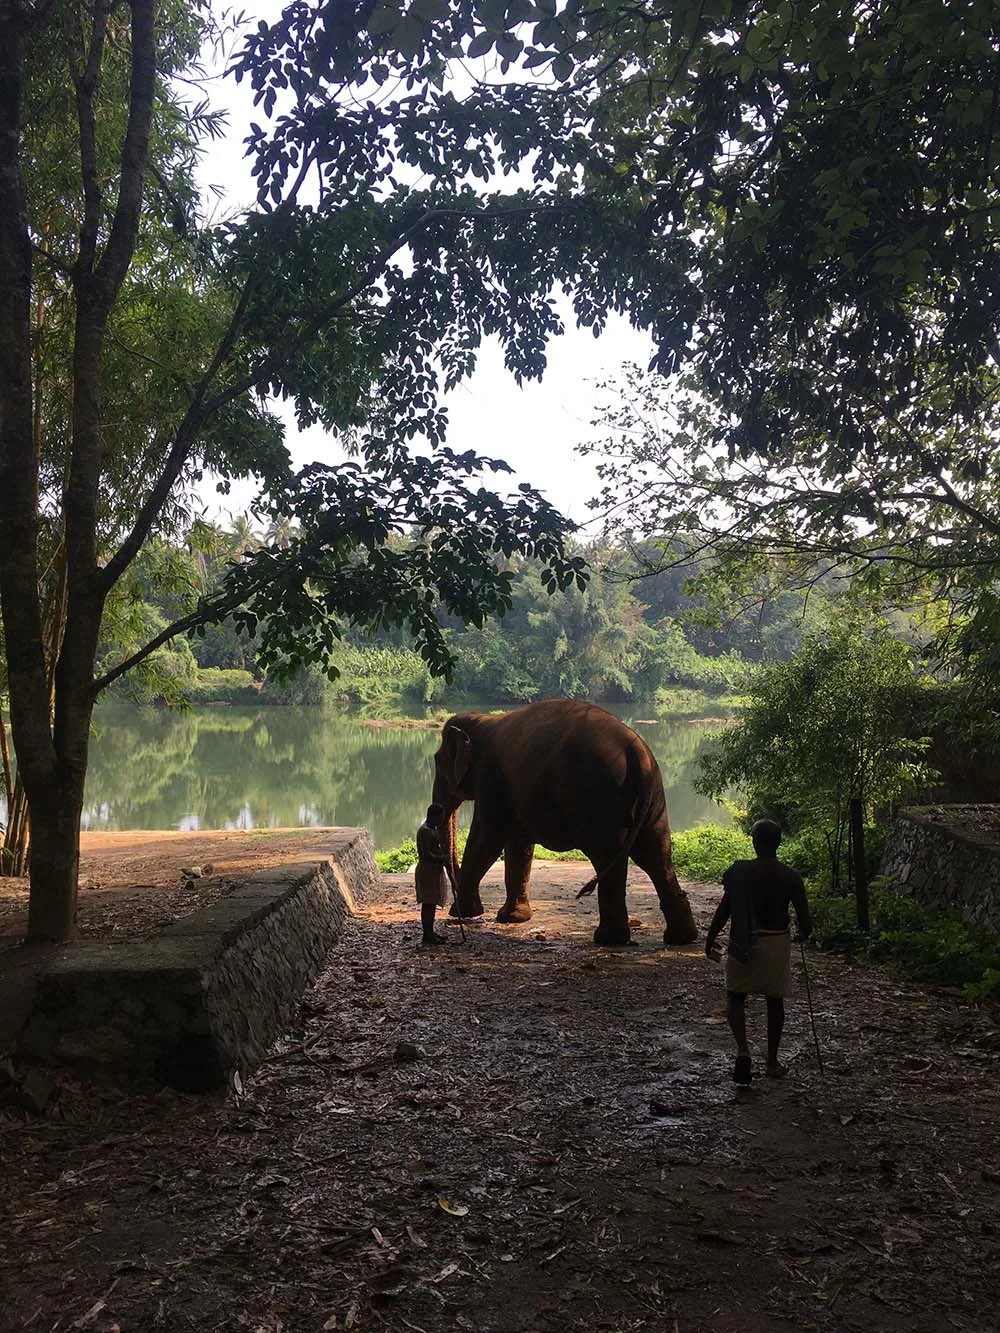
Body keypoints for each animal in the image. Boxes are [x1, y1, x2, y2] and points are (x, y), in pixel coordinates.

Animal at [431, 699, 698, 947]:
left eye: (437, 761)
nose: (453, 908)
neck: (484, 720)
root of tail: (637, 754)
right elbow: (518, 843)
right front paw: (513, 918)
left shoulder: (490, 778)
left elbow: (486, 837)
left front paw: (465, 913)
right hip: (654, 799)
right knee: (656, 855)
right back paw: (680, 938)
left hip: (601, 797)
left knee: (608, 857)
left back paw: (608, 939)